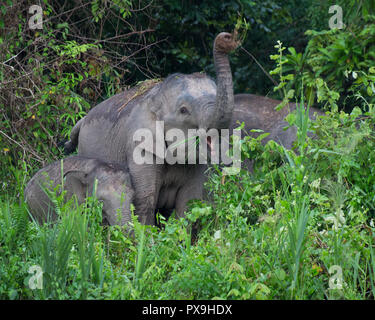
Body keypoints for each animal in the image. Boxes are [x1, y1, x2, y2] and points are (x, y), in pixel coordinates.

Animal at [62, 31, 236, 224]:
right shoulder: (139, 145)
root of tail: (83, 119)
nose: (226, 38)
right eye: (184, 110)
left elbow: (189, 201)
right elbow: (145, 200)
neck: (156, 97)